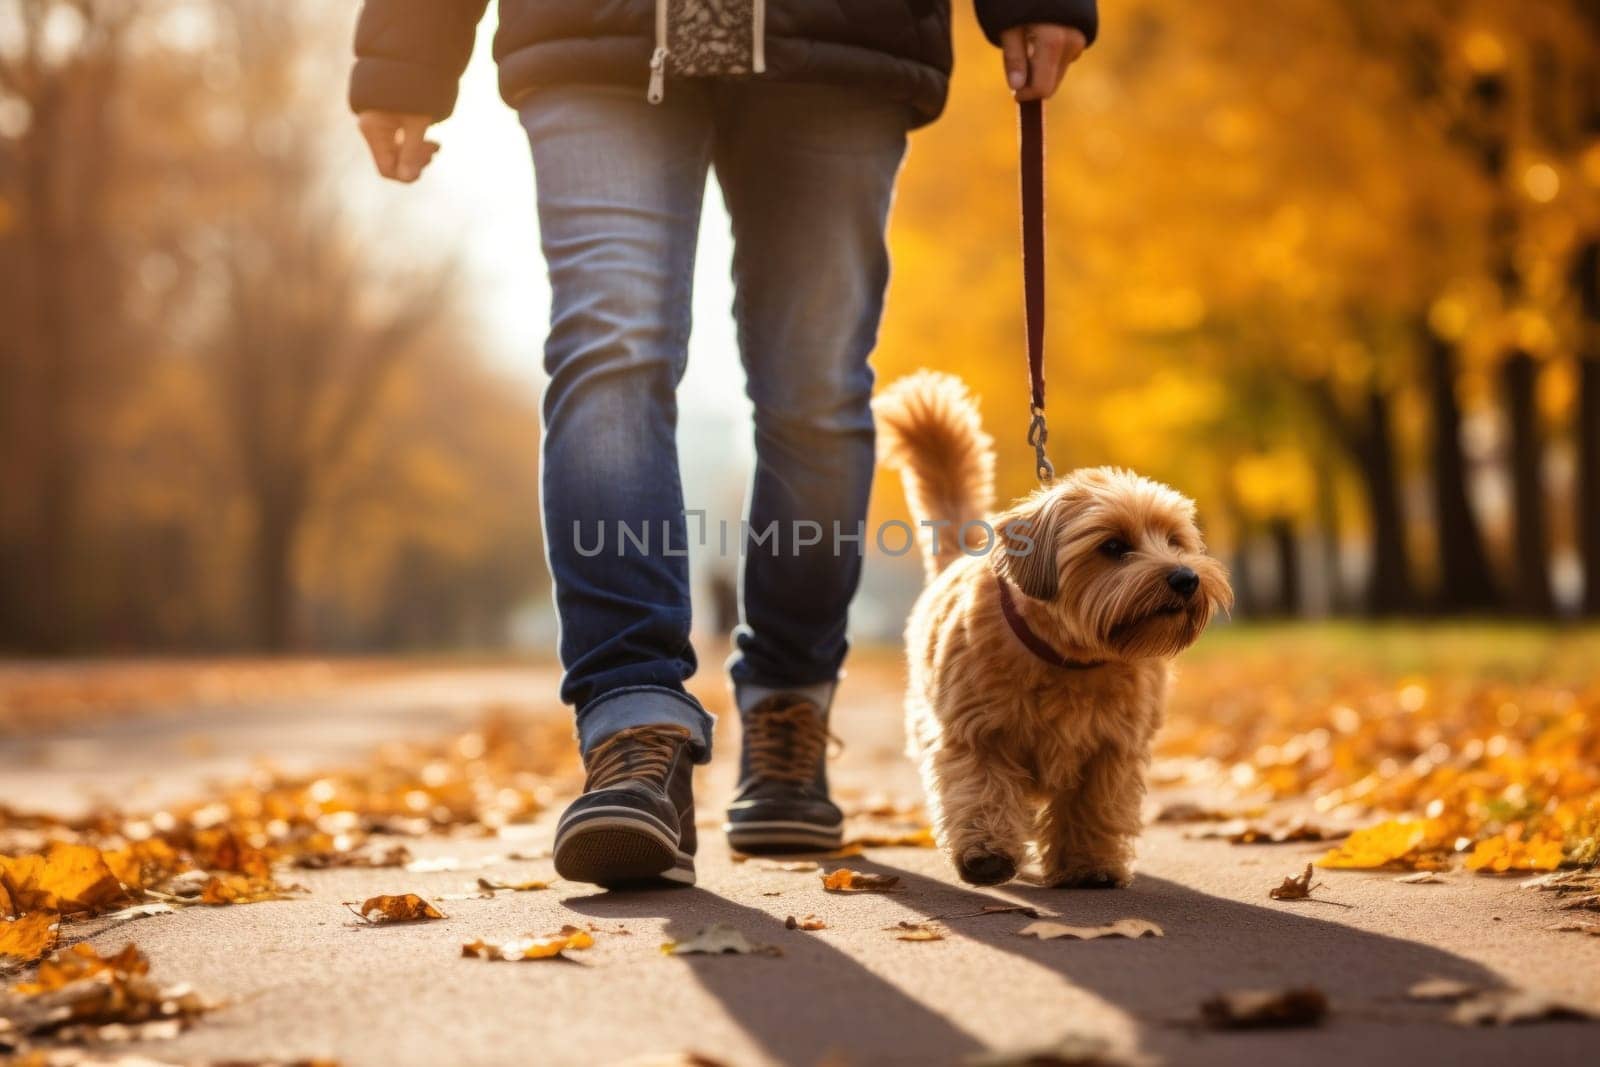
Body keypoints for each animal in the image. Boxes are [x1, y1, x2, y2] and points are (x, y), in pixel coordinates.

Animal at [876, 371, 1235, 889]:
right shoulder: (975, 736)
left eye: (1174, 541)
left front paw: (1089, 865)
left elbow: (1093, 808)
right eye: (1113, 546)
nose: (1186, 578)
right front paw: (987, 855)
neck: (1069, 658)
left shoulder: (1111, 750)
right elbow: (982, 791)